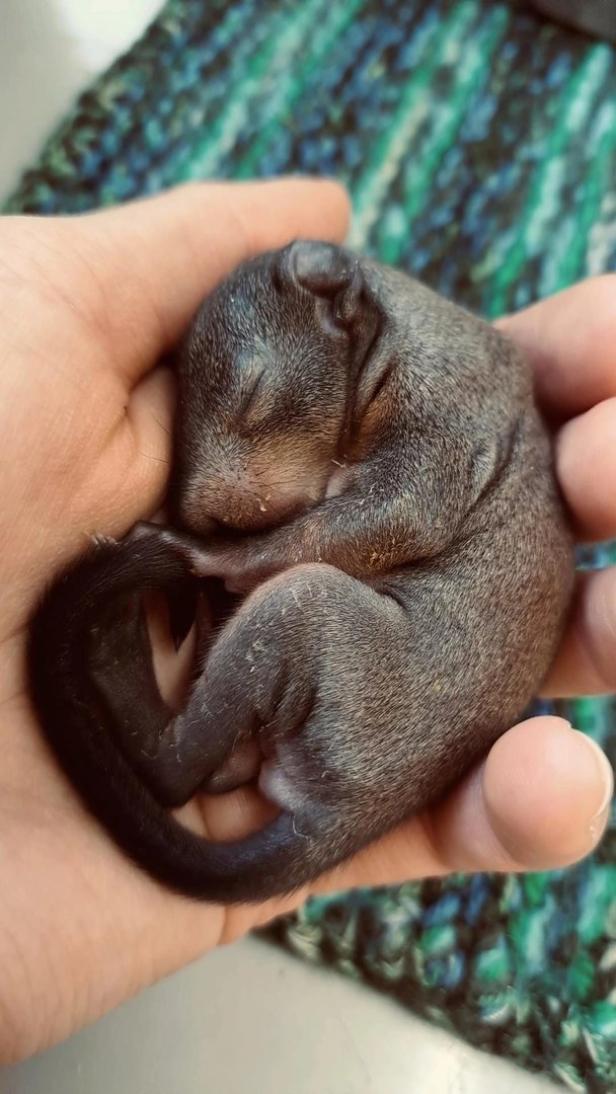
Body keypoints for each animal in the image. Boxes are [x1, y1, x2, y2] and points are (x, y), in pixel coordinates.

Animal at [26, 243, 577, 901]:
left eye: (255, 392)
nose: (203, 517)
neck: (399, 330)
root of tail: (347, 815)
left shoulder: (443, 413)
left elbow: (397, 517)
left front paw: (209, 556)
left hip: (308, 611)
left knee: (174, 773)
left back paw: (114, 641)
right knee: (218, 770)